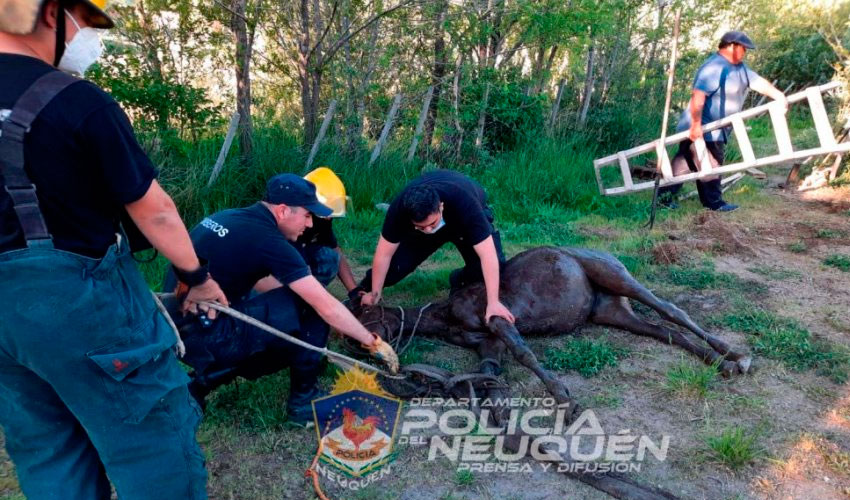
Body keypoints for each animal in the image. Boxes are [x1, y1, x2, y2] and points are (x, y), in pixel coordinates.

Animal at [352, 247, 748, 410]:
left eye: (365, 318)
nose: (356, 348)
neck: (447, 314)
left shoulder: (498, 319)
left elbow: (524, 353)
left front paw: (562, 396)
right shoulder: (487, 344)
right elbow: (489, 374)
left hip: (617, 278)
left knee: (671, 311)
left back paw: (735, 355)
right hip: (613, 313)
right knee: (665, 331)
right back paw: (721, 363)